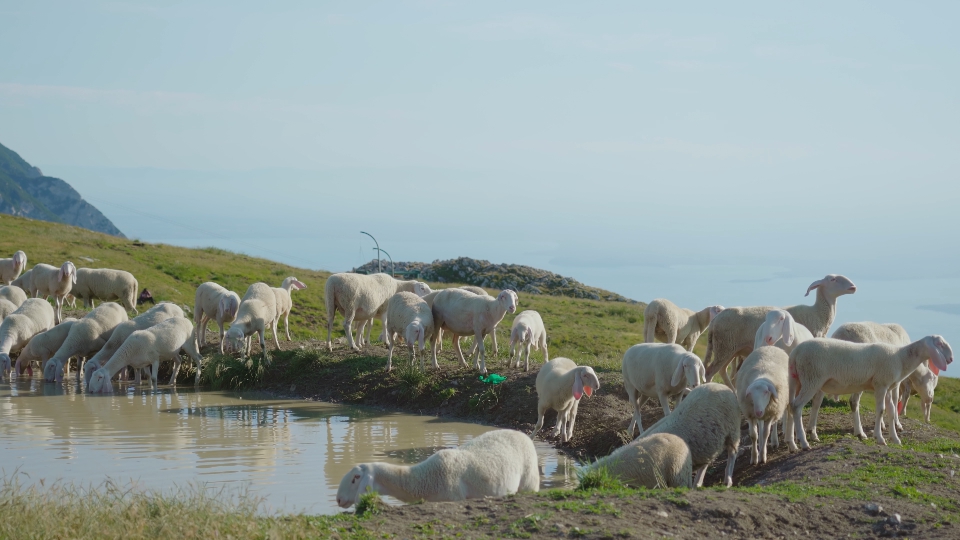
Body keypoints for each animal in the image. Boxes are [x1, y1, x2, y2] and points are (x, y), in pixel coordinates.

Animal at [336, 428, 540, 508]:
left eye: (355, 478)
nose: (338, 499)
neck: (424, 479)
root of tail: (521, 433)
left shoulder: (454, 498)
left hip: (529, 483)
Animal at [696, 276, 856, 386]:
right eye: (833, 279)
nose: (853, 287)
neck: (817, 314)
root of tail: (714, 321)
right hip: (725, 346)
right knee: (710, 372)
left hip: (729, 349)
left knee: (723, 371)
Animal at [788, 338, 952, 448]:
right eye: (940, 344)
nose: (951, 359)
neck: (901, 357)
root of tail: (796, 351)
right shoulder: (881, 384)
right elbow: (880, 411)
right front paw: (879, 437)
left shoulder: (887, 387)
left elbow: (891, 411)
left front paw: (895, 438)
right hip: (812, 378)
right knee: (797, 406)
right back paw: (804, 442)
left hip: (797, 380)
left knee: (790, 406)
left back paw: (793, 443)